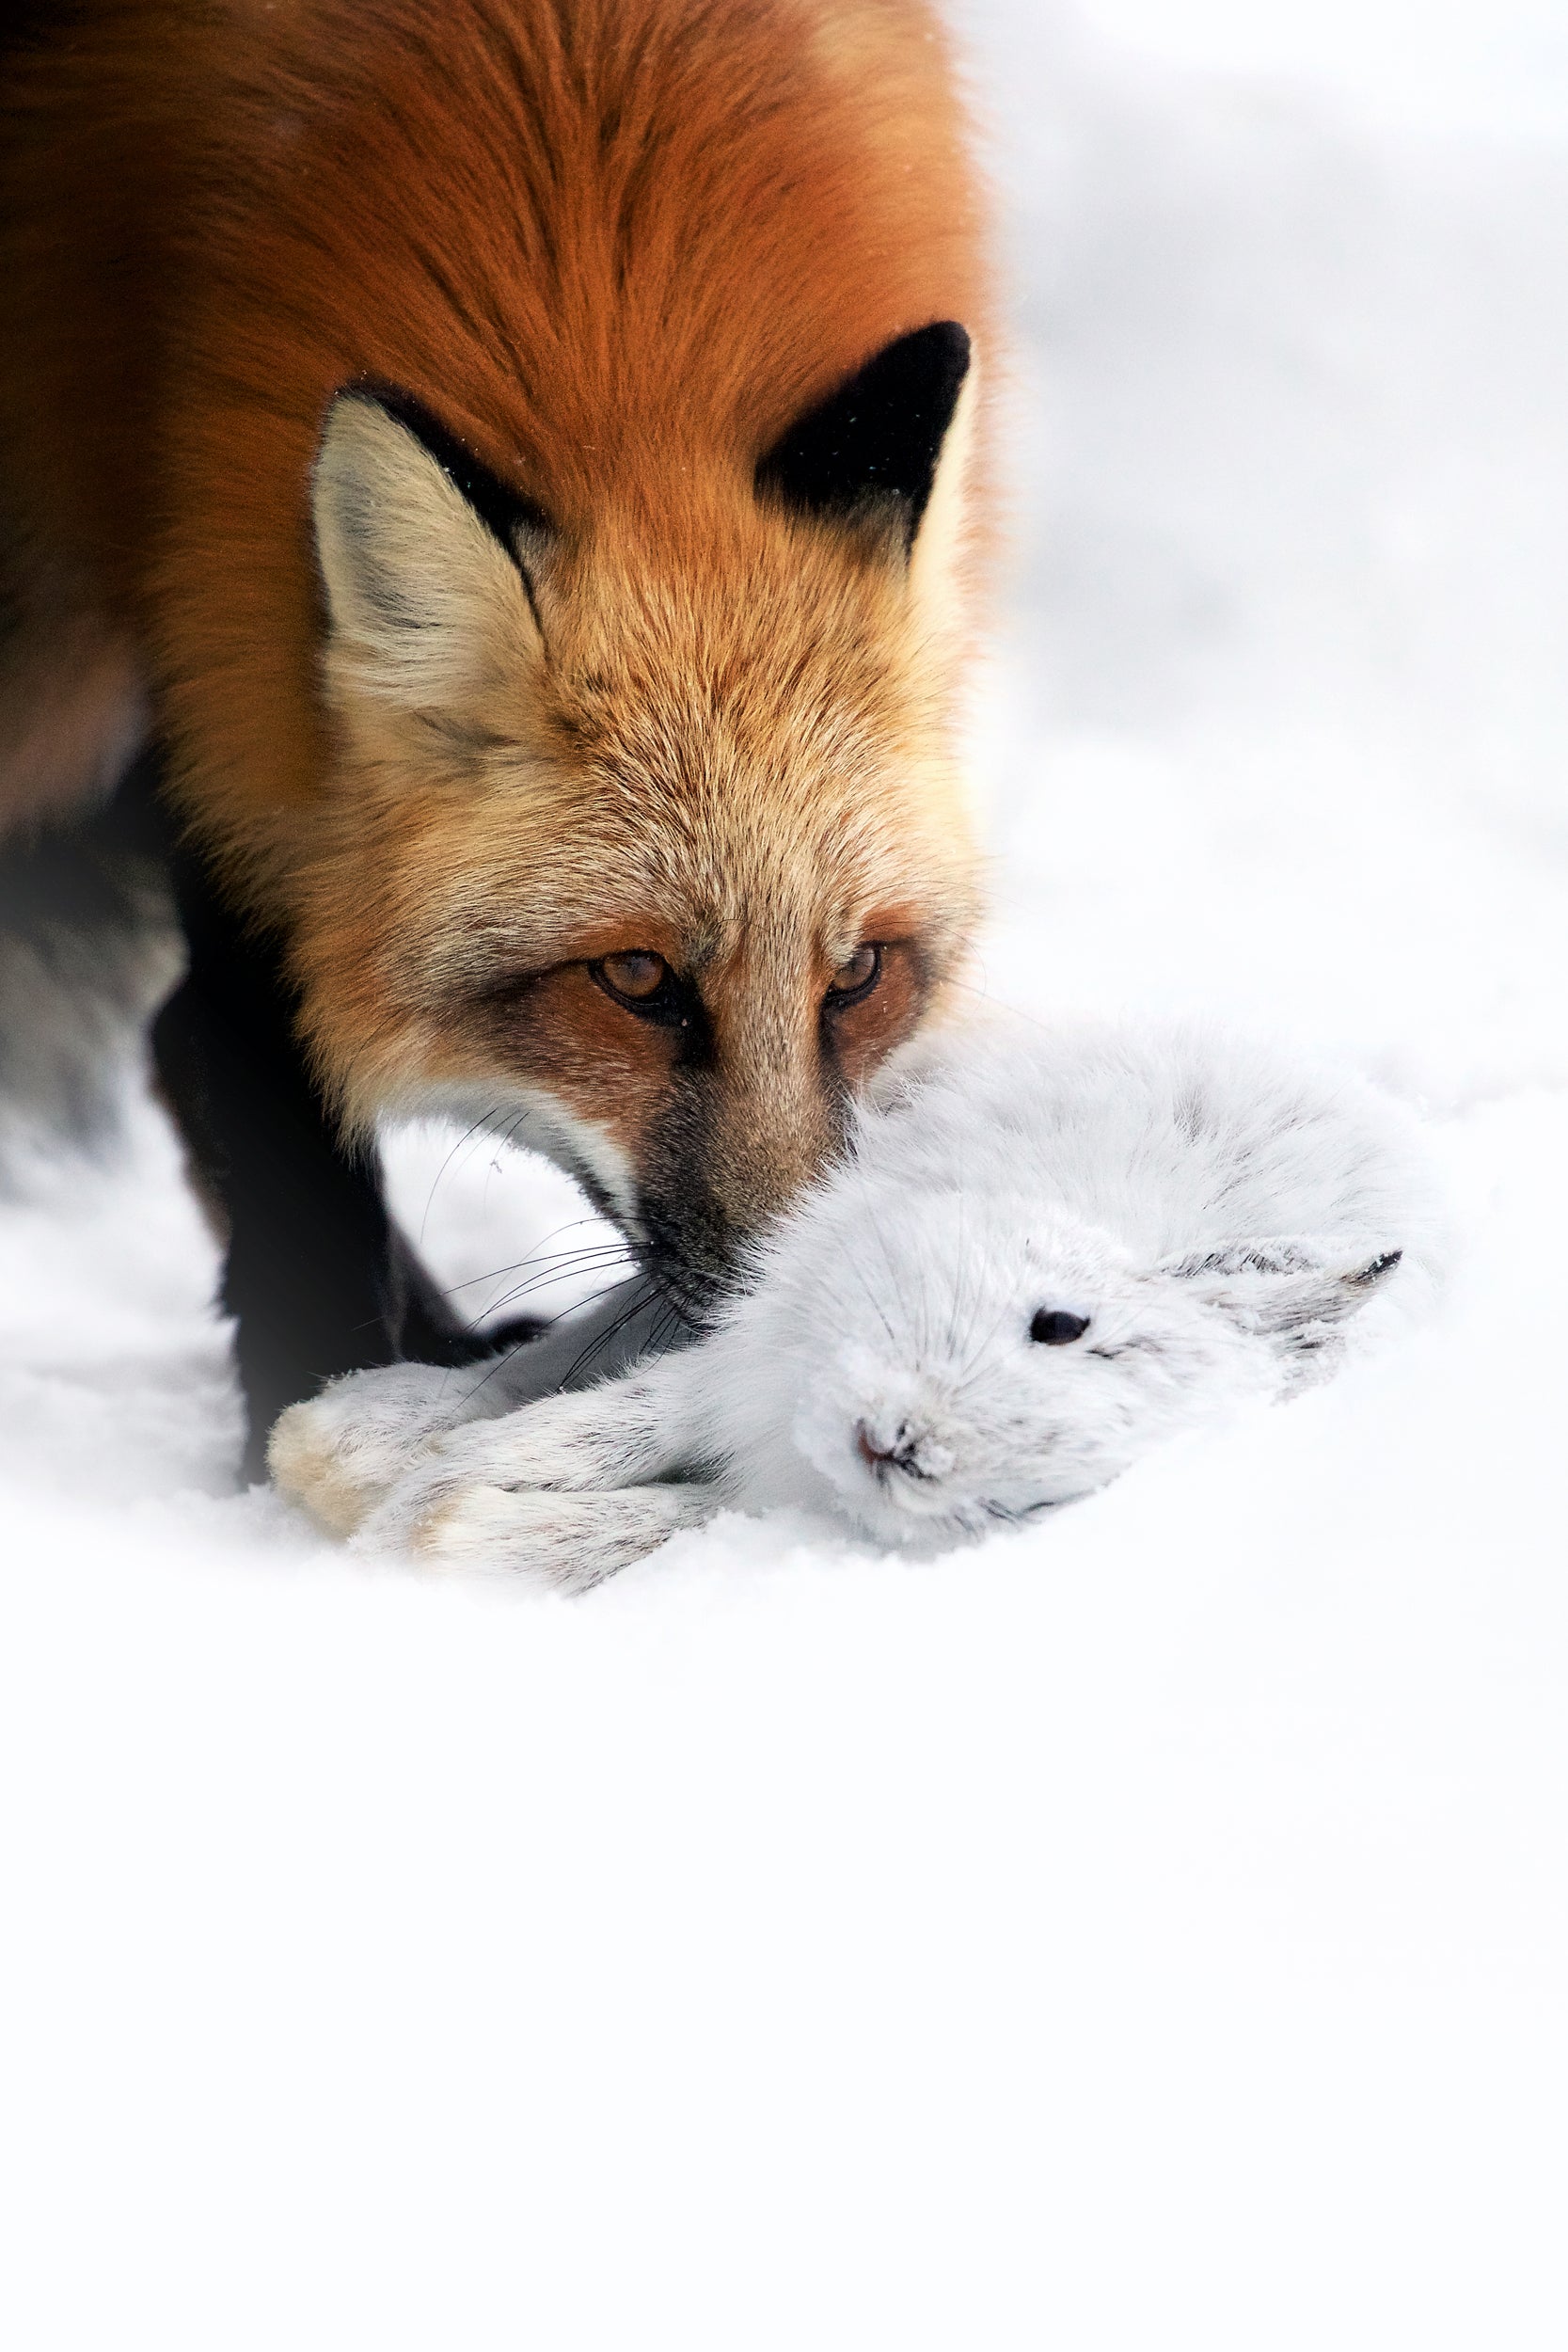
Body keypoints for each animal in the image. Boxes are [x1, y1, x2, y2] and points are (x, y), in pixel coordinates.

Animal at [0, 0, 994, 1475]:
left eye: (861, 974)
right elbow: (255, 1081)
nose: (785, 1309)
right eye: (633, 980)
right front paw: (320, 1403)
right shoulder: (228, 711)